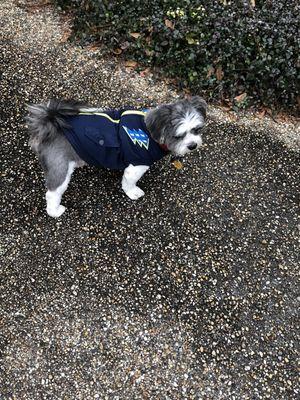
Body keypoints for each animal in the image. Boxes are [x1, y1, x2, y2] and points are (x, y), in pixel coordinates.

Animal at [27, 96, 207, 219]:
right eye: (179, 136)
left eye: (197, 130)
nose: (193, 145)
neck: (150, 133)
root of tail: (50, 121)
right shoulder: (136, 165)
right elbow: (129, 183)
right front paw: (132, 192)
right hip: (60, 170)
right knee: (52, 193)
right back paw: (55, 211)